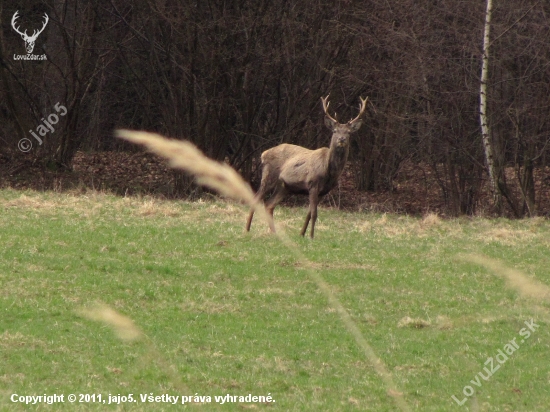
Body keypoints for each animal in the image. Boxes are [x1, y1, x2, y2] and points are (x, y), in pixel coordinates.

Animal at [247, 95, 368, 238]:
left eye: (349, 132)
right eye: (335, 131)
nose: (342, 139)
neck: (329, 172)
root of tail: (263, 154)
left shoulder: (323, 191)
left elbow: (309, 213)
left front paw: (302, 234)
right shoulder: (312, 183)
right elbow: (314, 214)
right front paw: (311, 236)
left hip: (284, 187)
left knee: (269, 205)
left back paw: (274, 232)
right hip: (268, 176)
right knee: (256, 199)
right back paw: (247, 229)